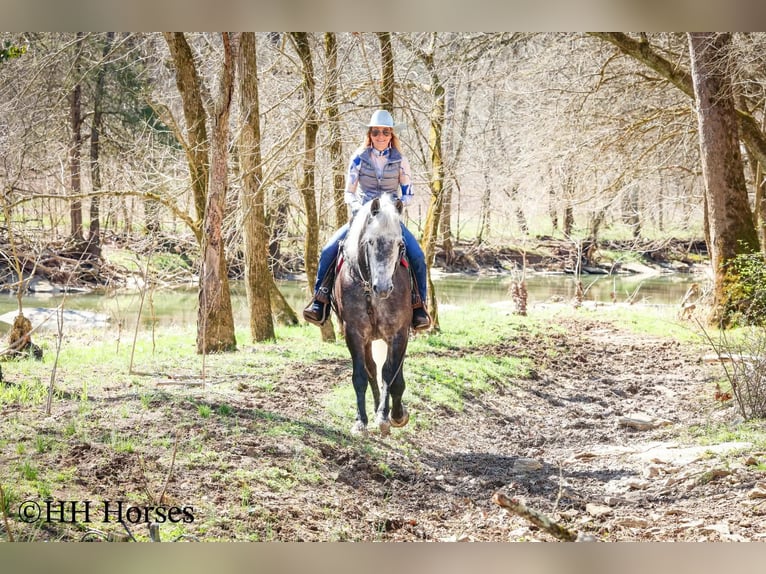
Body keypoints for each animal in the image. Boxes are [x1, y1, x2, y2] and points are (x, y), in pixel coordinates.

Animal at [333, 193, 413, 436]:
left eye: (399, 243)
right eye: (370, 241)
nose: (383, 288)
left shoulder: (399, 333)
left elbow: (390, 374)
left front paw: (389, 417)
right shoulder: (354, 333)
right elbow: (361, 376)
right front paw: (361, 422)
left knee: (392, 372)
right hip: (368, 340)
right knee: (371, 370)